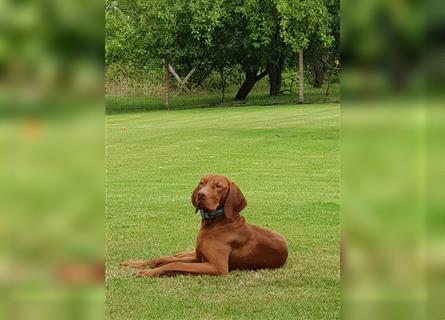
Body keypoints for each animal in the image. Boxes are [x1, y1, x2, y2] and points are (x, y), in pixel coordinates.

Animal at [121, 174, 288, 276]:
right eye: (202, 183)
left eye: (219, 186)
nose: (201, 194)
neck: (214, 224)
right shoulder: (200, 259)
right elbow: (163, 259)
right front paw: (133, 263)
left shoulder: (217, 267)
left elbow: (175, 264)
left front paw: (148, 272)